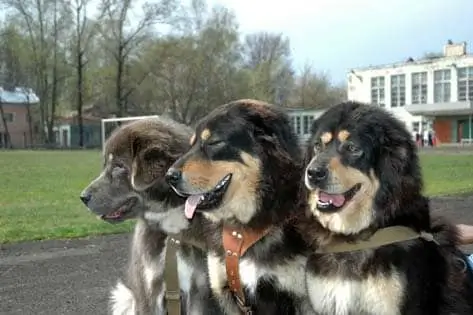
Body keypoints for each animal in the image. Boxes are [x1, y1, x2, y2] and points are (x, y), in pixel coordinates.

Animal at [164, 100, 316, 315]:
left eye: (213, 142)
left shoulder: (303, 298)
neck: (243, 228)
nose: (169, 176)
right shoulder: (226, 292)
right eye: (191, 144)